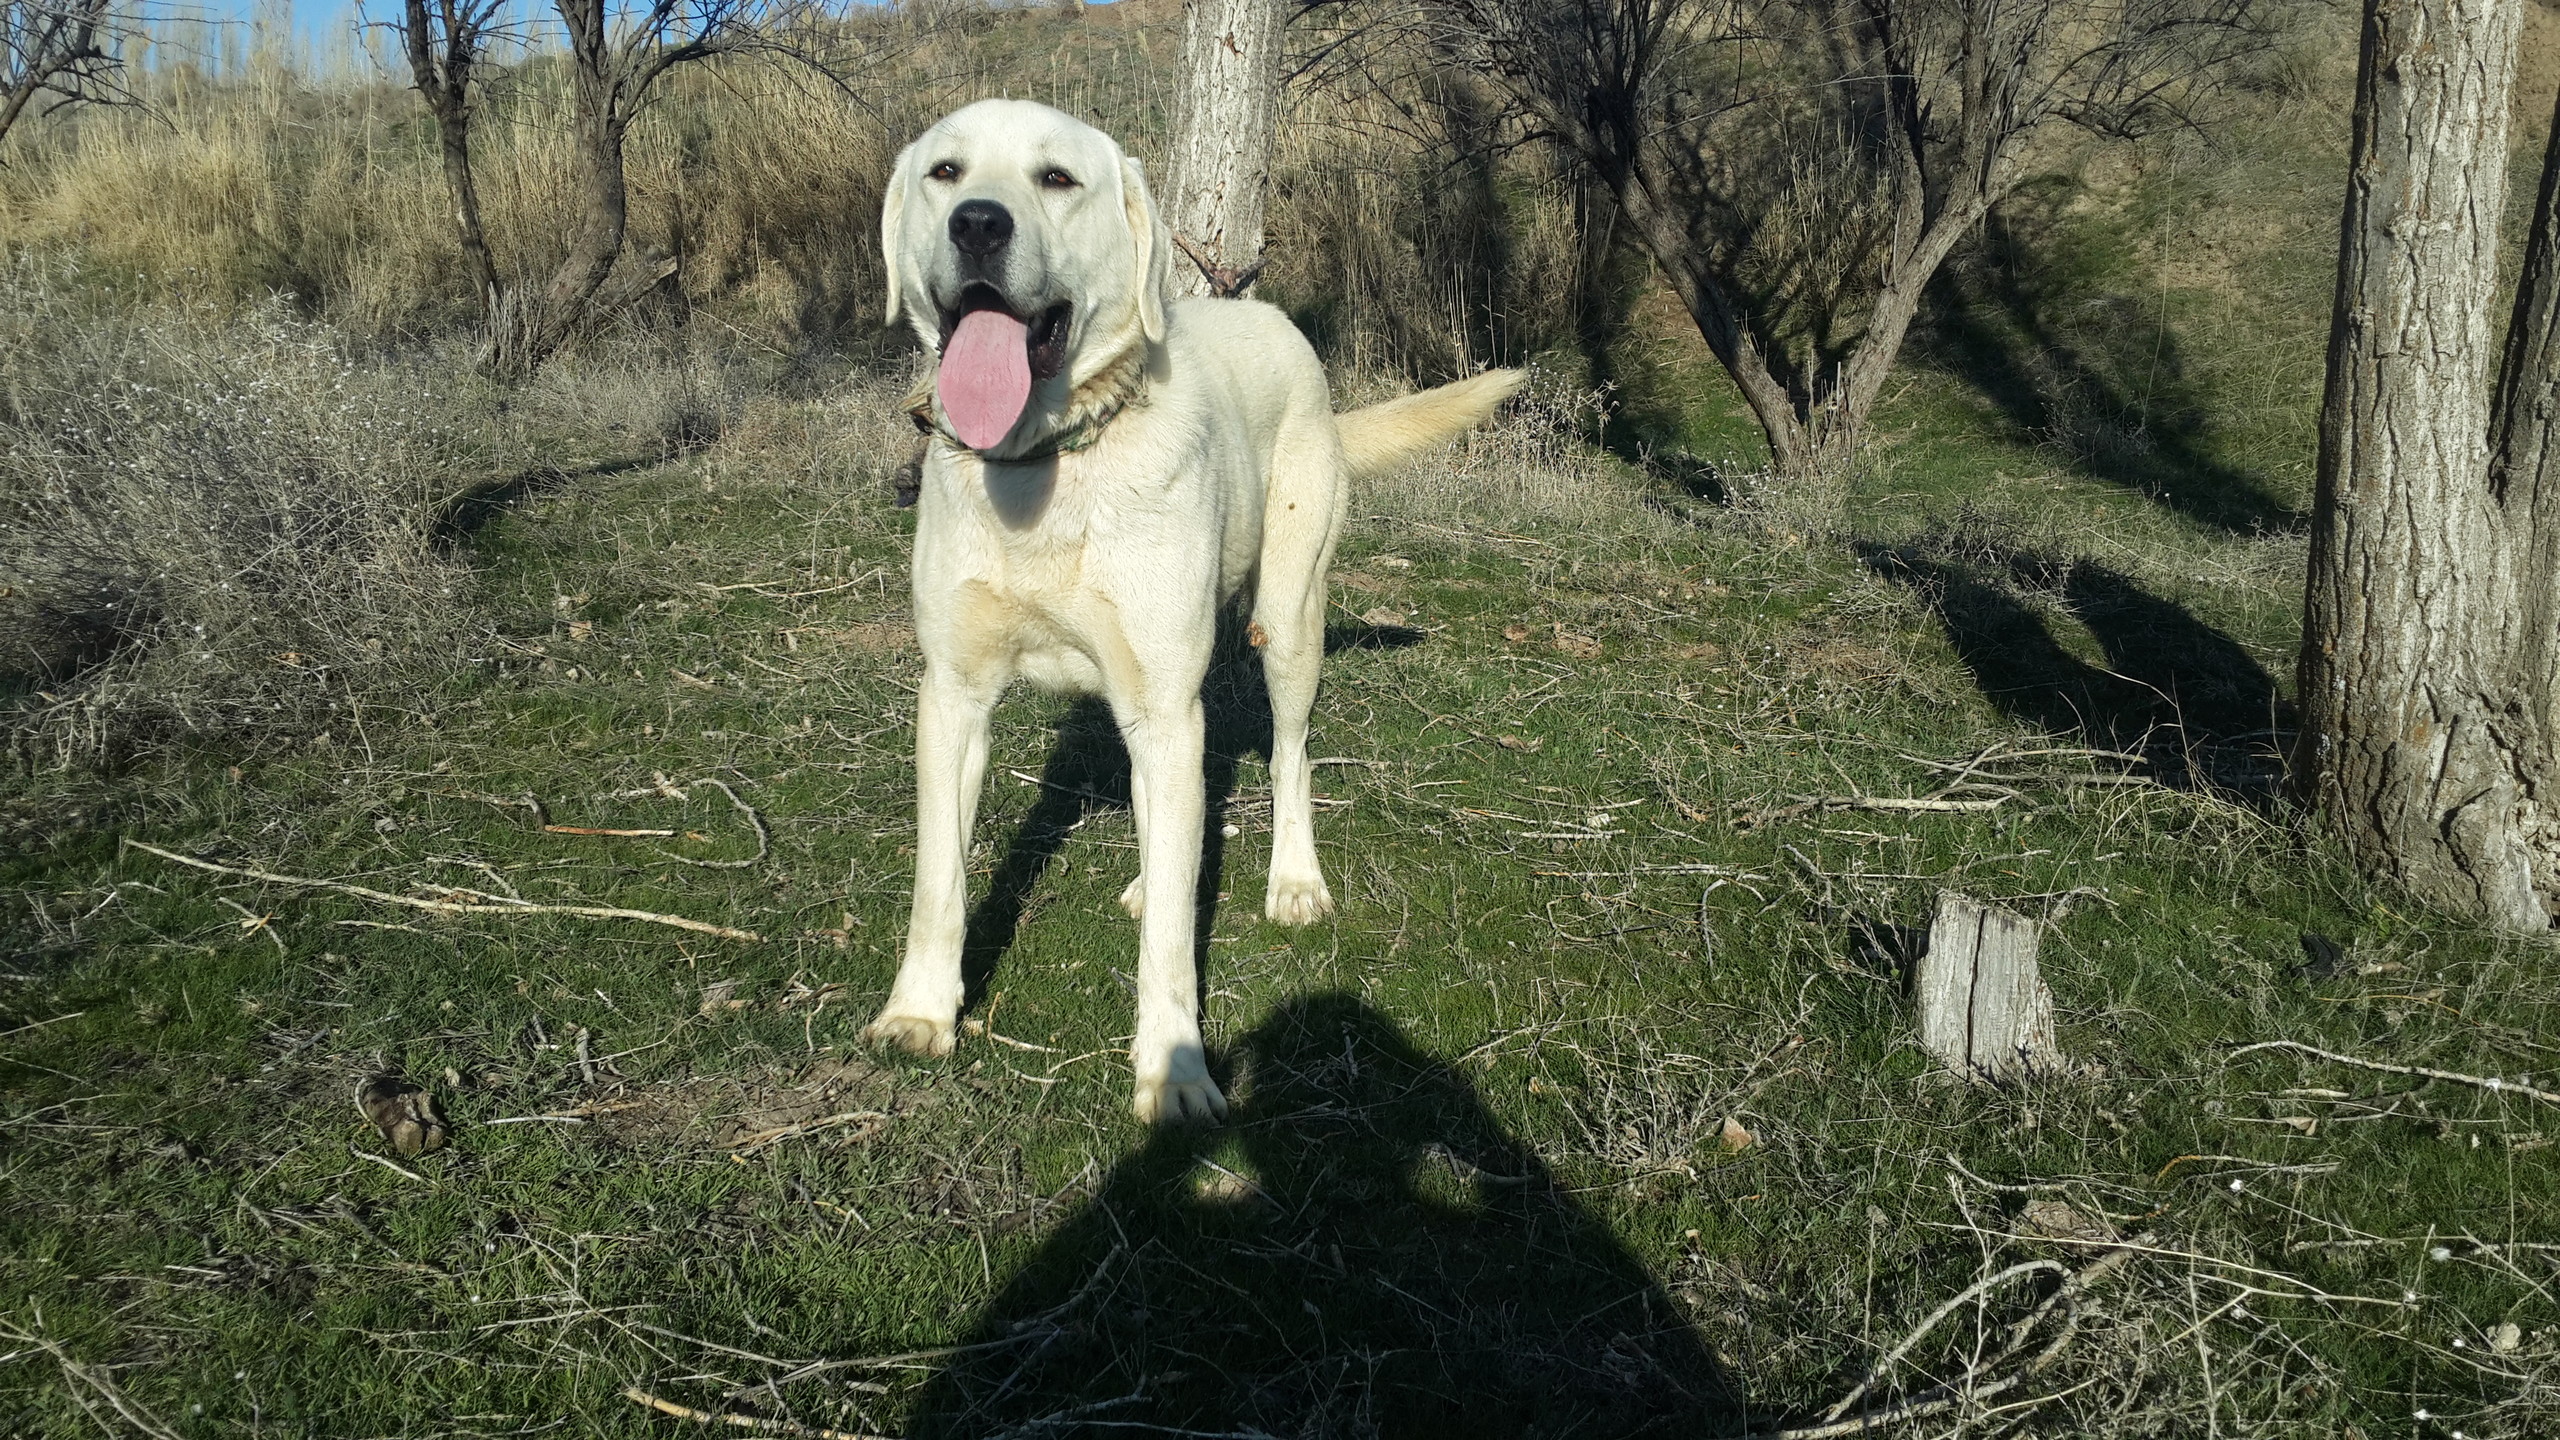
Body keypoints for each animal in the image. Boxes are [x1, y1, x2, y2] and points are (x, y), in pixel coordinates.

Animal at [870, 101, 1525, 1122]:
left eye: (1057, 178)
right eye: (946, 171)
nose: (977, 223)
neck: (1048, 463)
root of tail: (1269, 314)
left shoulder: (1165, 704)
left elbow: (1176, 940)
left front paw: (1173, 1070)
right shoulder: (955, 699)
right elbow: (940, 881)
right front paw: (920, 1013)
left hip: (1287, 622)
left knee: (1289, 755)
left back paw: (1293, 879)